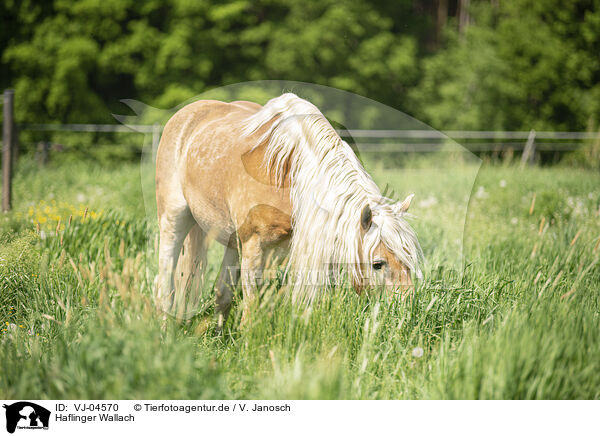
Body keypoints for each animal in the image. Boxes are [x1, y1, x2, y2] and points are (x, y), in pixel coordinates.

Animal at [154, 92, 422, 326]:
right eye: (378, 263)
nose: (404, 307)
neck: (289, 176)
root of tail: (187, 113)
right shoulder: (254, 248)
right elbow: (251, 310)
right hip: (174, 219)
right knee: (165, 284)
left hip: (233, 239)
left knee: (222, 294)